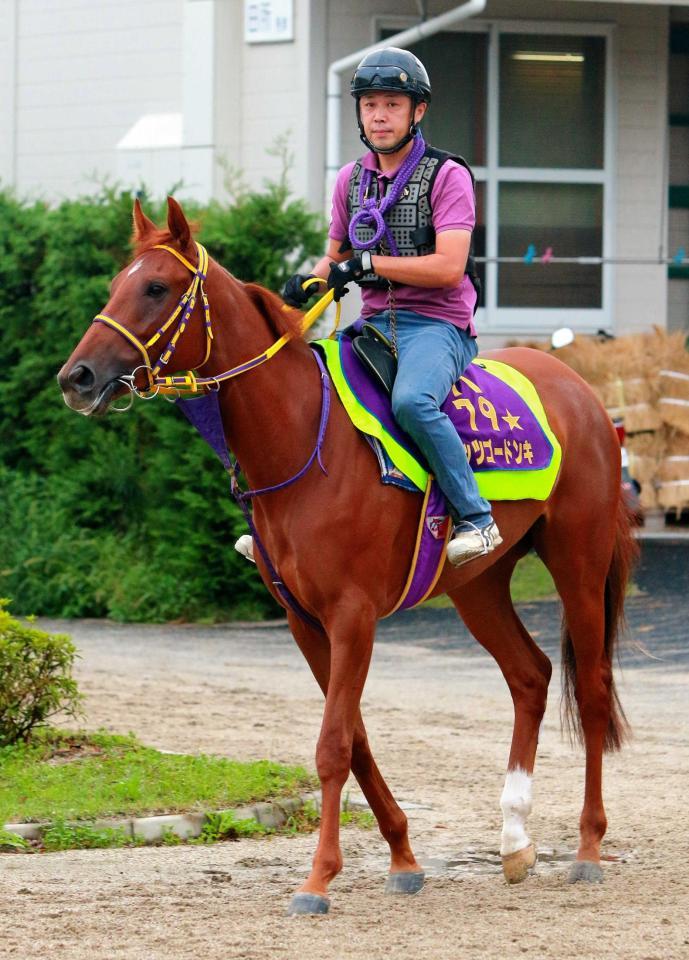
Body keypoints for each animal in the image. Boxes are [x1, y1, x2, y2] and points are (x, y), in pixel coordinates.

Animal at [57, 197, 636, 916]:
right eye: (117, 284)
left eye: (157, 288)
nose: (75, 377)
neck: (305, 440)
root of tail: (583, 392)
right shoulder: (306, 622)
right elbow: (354, 738)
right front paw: (403, 857)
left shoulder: (352, 615)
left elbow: (333, 744)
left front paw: (318, 879)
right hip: (477, 584)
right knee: (529, 676)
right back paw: (513, 840)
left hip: (578, 565)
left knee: (592, 690)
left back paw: (586, 848)